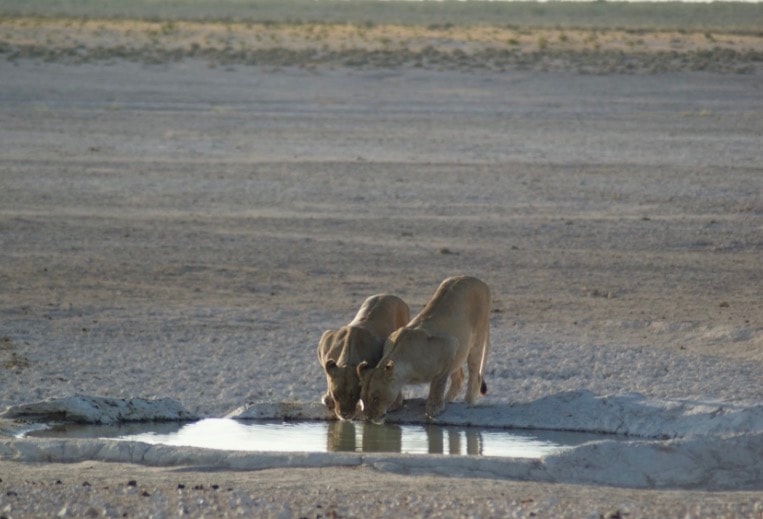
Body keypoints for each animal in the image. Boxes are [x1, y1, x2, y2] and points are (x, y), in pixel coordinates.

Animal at [357, 276, 490, 423]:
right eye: (363, 399)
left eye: (375, 398)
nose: (368, 418)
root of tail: (479, 280)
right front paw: (395, 403)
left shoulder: (450, 345)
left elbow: (438, 383)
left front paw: (434, 407)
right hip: (460, 350)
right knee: (459, 377)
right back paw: (449, 400)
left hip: (476, 340)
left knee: (474, 376)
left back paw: (467, 402)